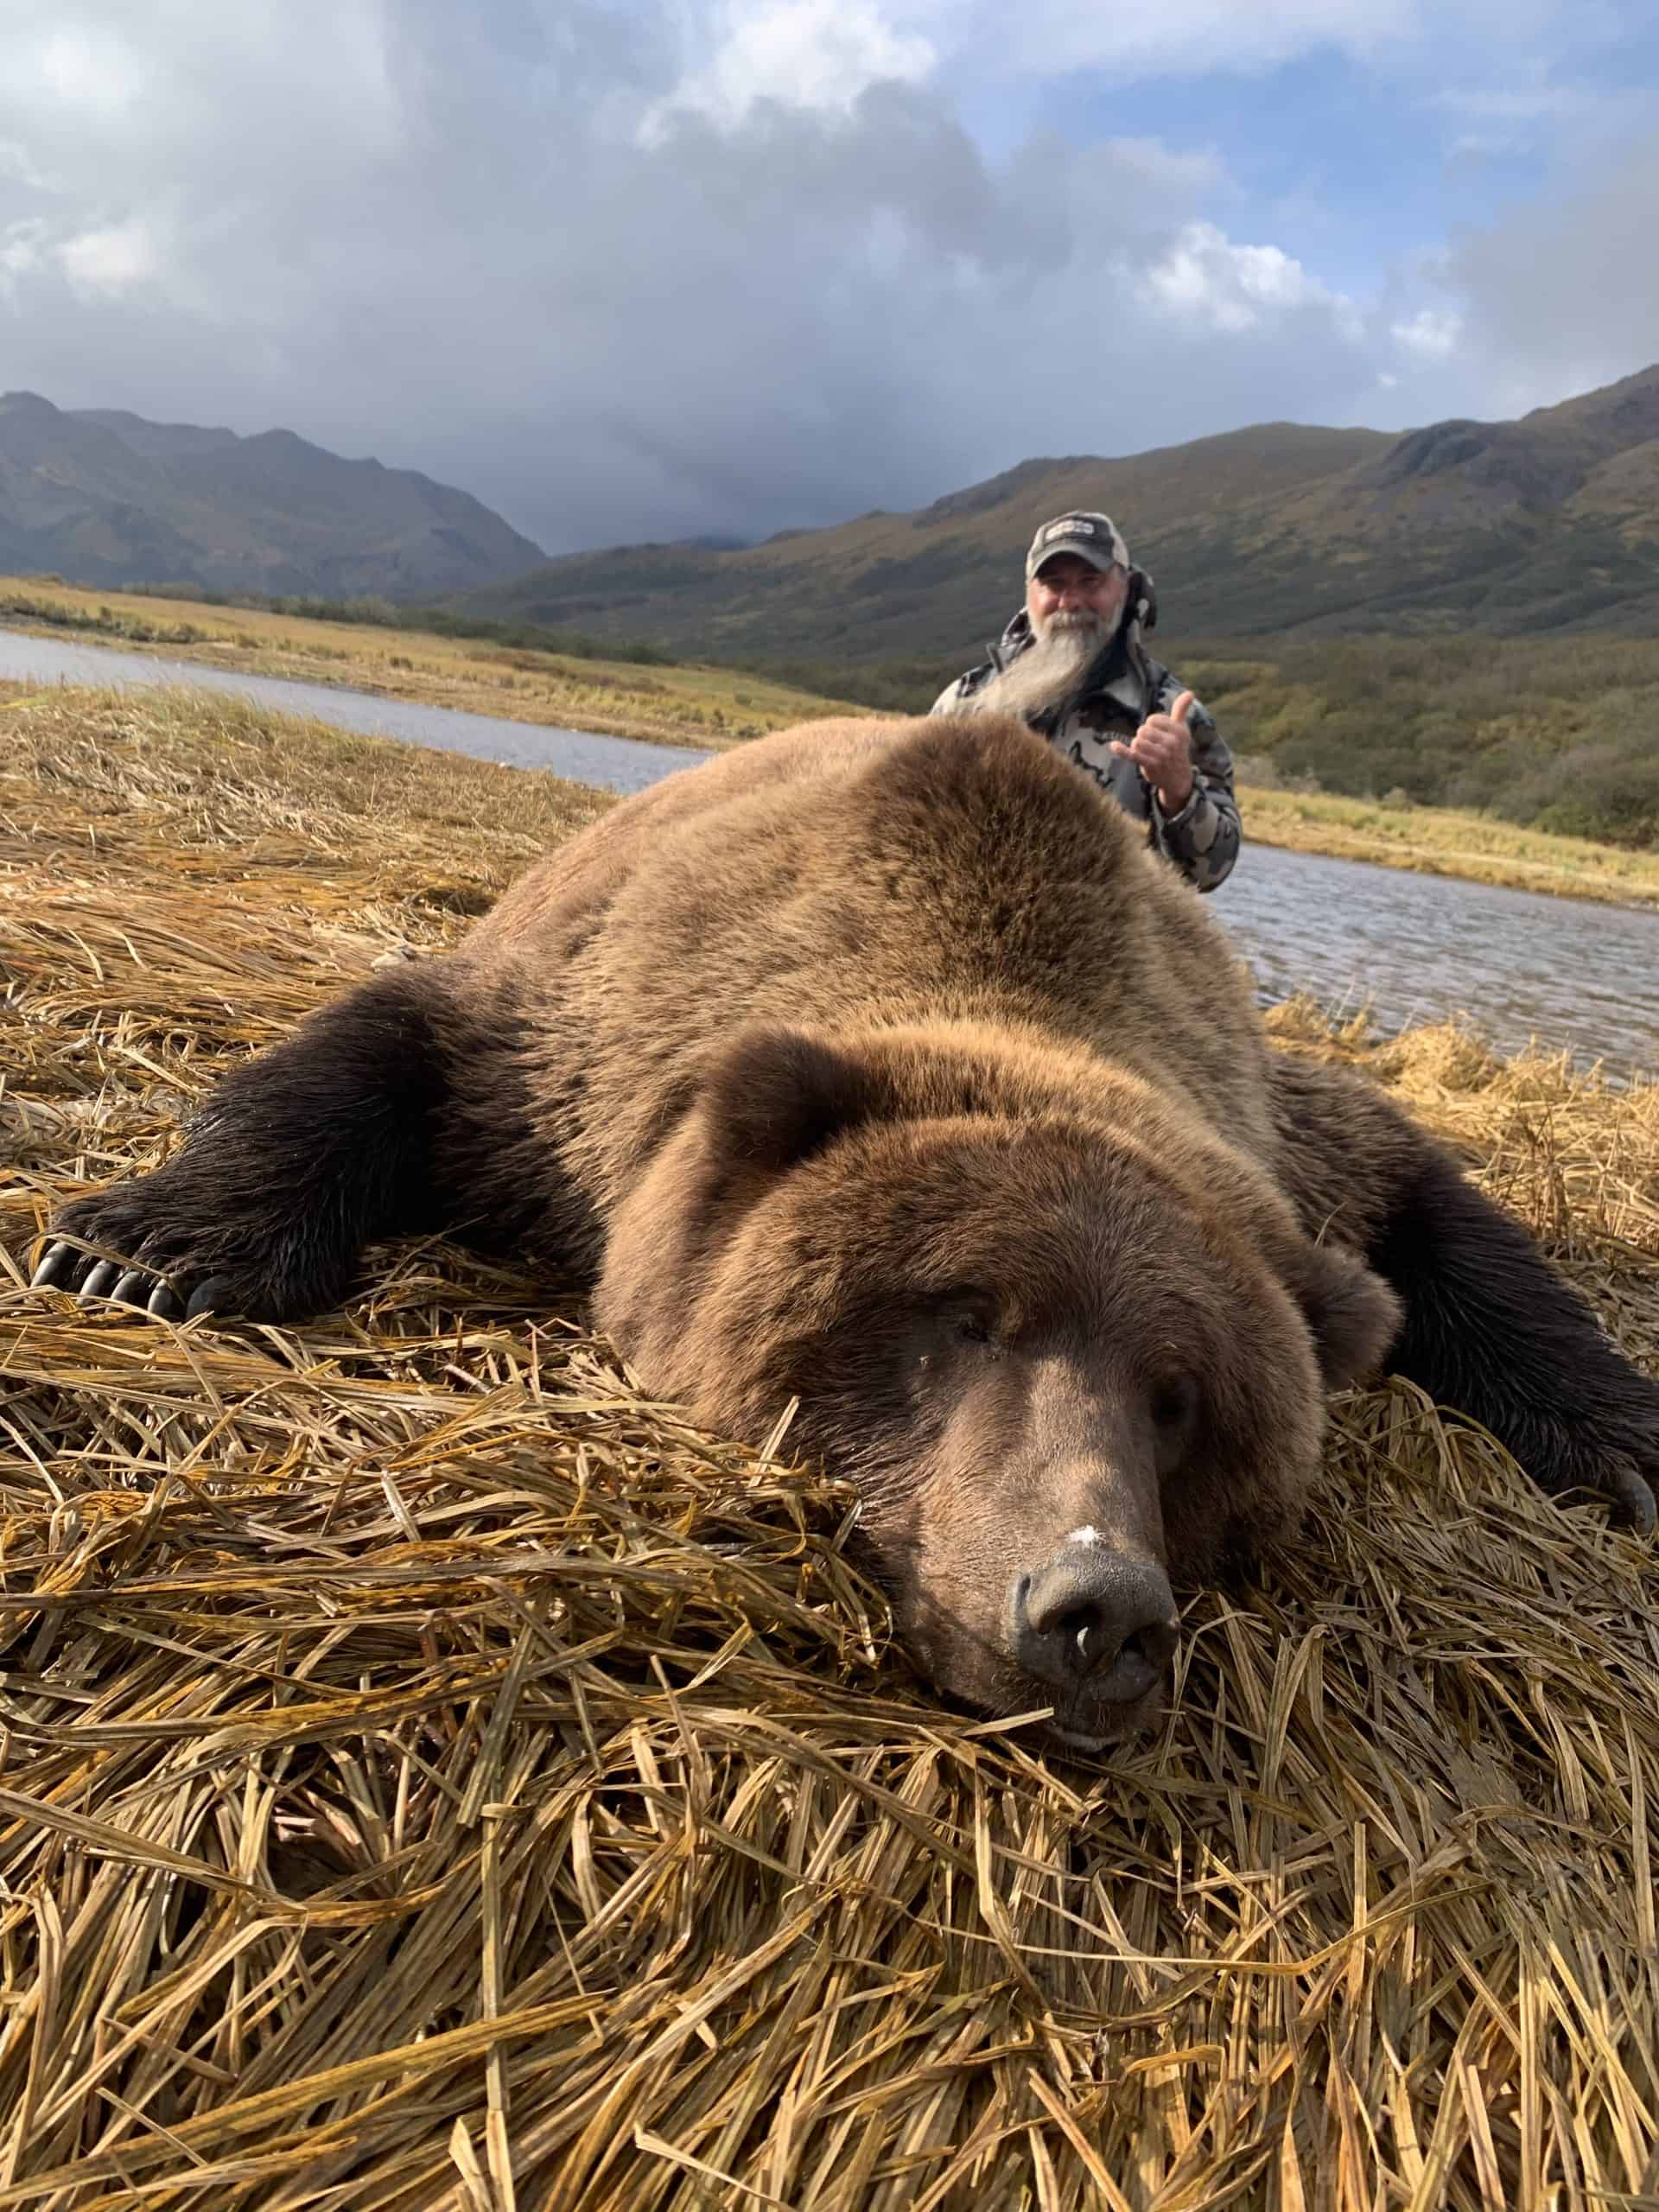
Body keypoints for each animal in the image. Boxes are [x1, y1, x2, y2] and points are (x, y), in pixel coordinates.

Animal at [32, 713, 1659, 1753]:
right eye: (961, 1316)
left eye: (1183, 1397)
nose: (1097, 1606)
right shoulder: (577, 1051)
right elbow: (393, 1040)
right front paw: (140, 1247)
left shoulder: (1273, 1134)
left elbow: (1428, 1200)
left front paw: (1624, 1443)